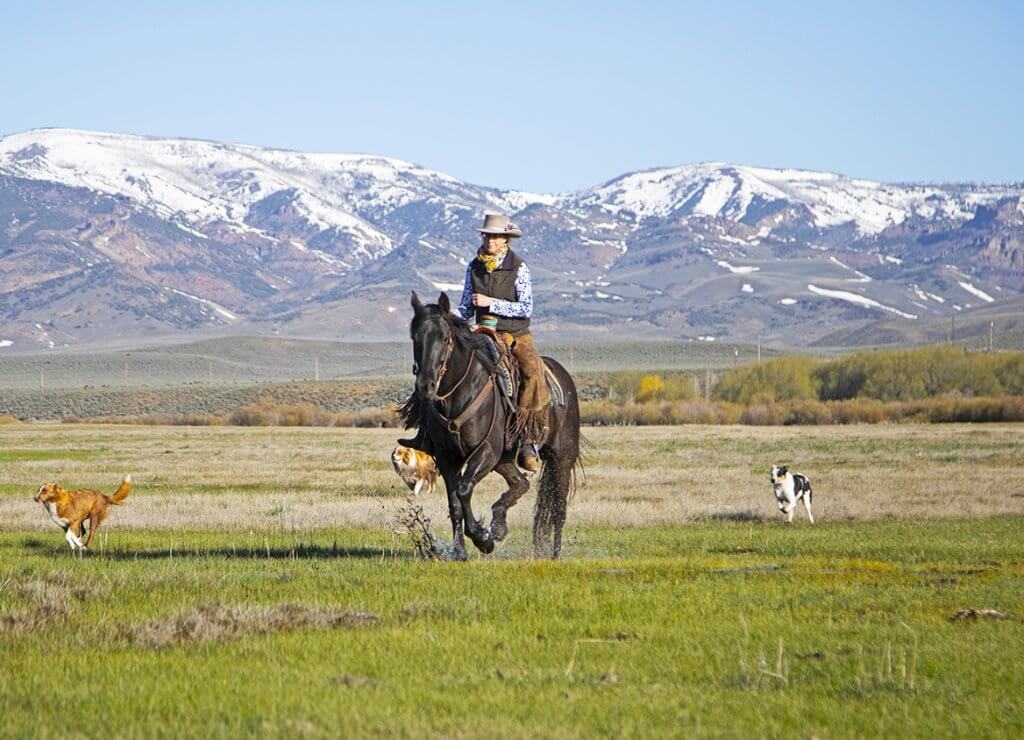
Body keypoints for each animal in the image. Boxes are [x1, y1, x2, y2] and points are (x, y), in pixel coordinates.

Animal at [401, 292, 581, 556]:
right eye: (415, 337)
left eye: (445, 338)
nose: (426, 386)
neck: (460, 395)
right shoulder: (447, 457)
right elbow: (455, 503)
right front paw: (461, 551)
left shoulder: (486, 451)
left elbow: (464, 488)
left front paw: (482, 538)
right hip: (504, 459)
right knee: (521, 483)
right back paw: (499, 525)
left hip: (561, 457)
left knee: (558, 508)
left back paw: (555, 554)